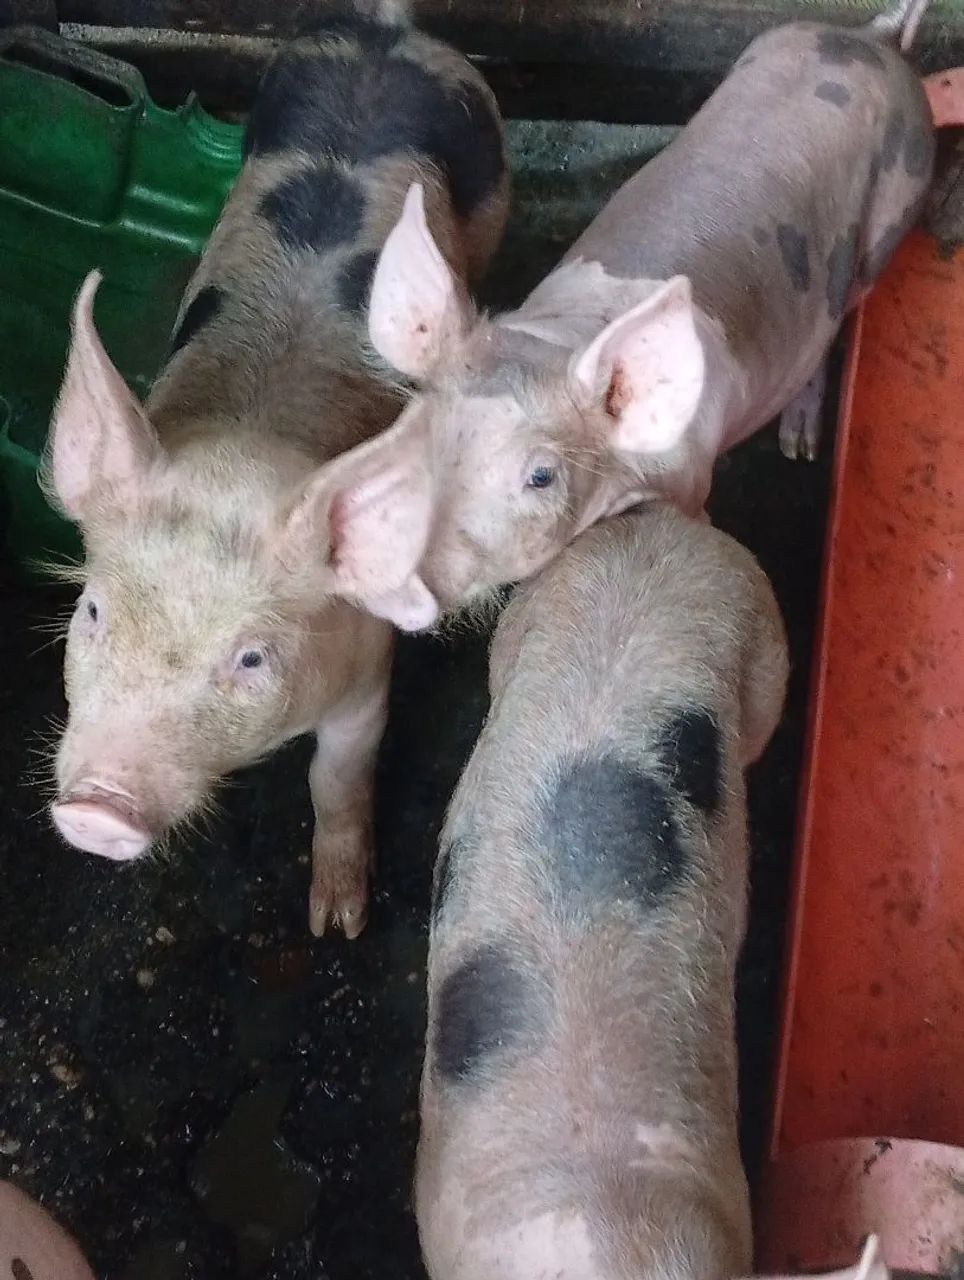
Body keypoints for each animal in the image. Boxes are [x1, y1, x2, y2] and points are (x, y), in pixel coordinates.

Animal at [41, 0, 508, 937]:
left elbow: (338, 778)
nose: (96, 810)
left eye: (251, 658)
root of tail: (387, 33)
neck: (249, 443)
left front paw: (337, 923)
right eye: (93, 611)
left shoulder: (367, 671)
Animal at [297, 0, 935, 632]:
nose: (371, 555)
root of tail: (873, 41)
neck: (558, 339)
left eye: (541, 476)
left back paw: (797, 445)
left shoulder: (689, 479)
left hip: (890, 221)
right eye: (420, 417)